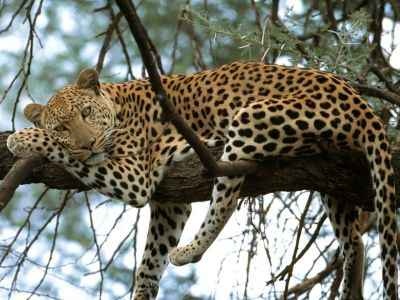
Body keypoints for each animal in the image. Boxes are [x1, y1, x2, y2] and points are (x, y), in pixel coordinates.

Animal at [7, 61, 398, 300]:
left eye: (86, 113)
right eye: (62, 126)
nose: (88, 144)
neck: (118, 105)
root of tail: (359, 101)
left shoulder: (134, 176)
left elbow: (67, 156)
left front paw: (22, 138)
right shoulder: (169, 203)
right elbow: (150, 260)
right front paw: (143, 292)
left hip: (250, 117)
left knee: (225, 199)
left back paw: (191, 250)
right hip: (334, 181)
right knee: (354, 241)